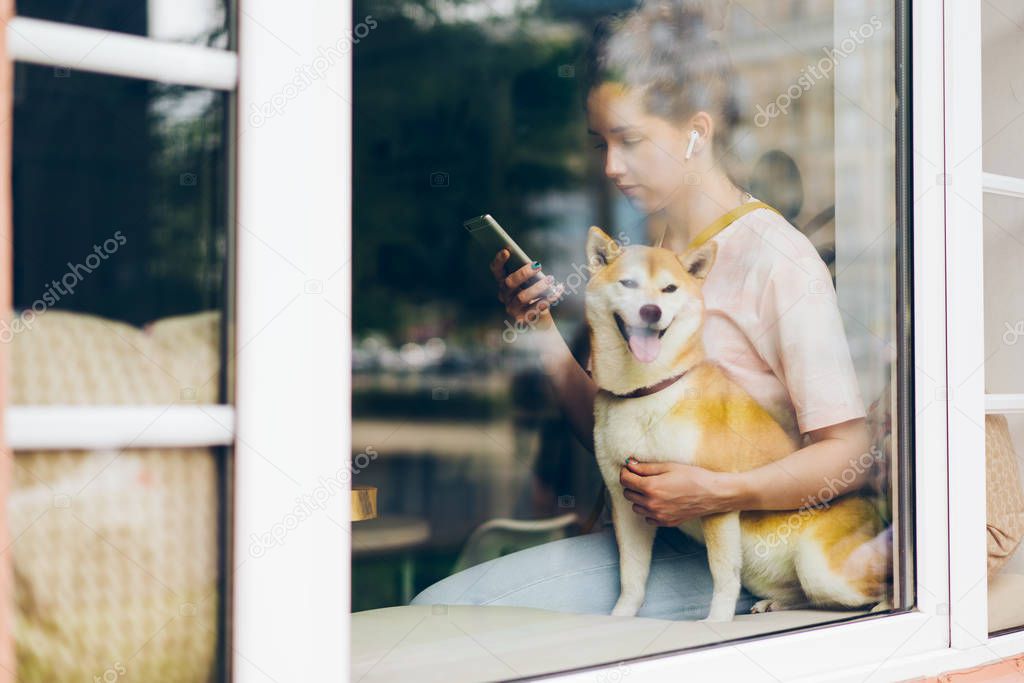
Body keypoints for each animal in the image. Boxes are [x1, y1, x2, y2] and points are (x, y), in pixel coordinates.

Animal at [585, 227, 888, 622]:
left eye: (669, 289)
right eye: (629, 283)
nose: (651, 311)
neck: (647, 390)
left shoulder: (713, 500)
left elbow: (723, 575)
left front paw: (716, 621)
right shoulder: (625, 504)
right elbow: (631, 577)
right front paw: (620, 618)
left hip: (821, 567)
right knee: (806, 596)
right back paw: (778, 603)